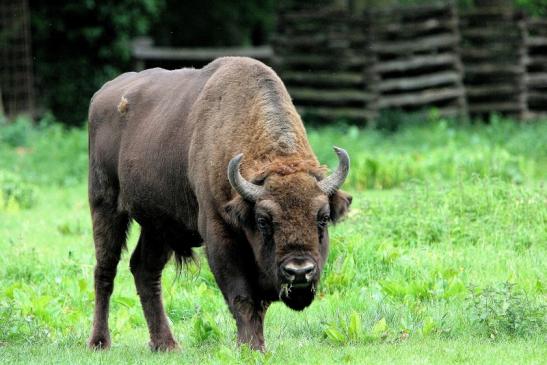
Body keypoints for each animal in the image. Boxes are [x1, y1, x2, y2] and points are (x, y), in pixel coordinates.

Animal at [85, 57, 352, 350]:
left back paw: (166, 345)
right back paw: (99, 342)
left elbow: (259, 303)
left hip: (159, 225)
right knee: (105, 271)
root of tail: (102, 94)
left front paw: (257, 346)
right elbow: (242, 296)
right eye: (263, 220)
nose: (300, 271)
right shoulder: (218, 232)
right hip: (105, 205)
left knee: (145, 270)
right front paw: (250, 347)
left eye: (323, 217)